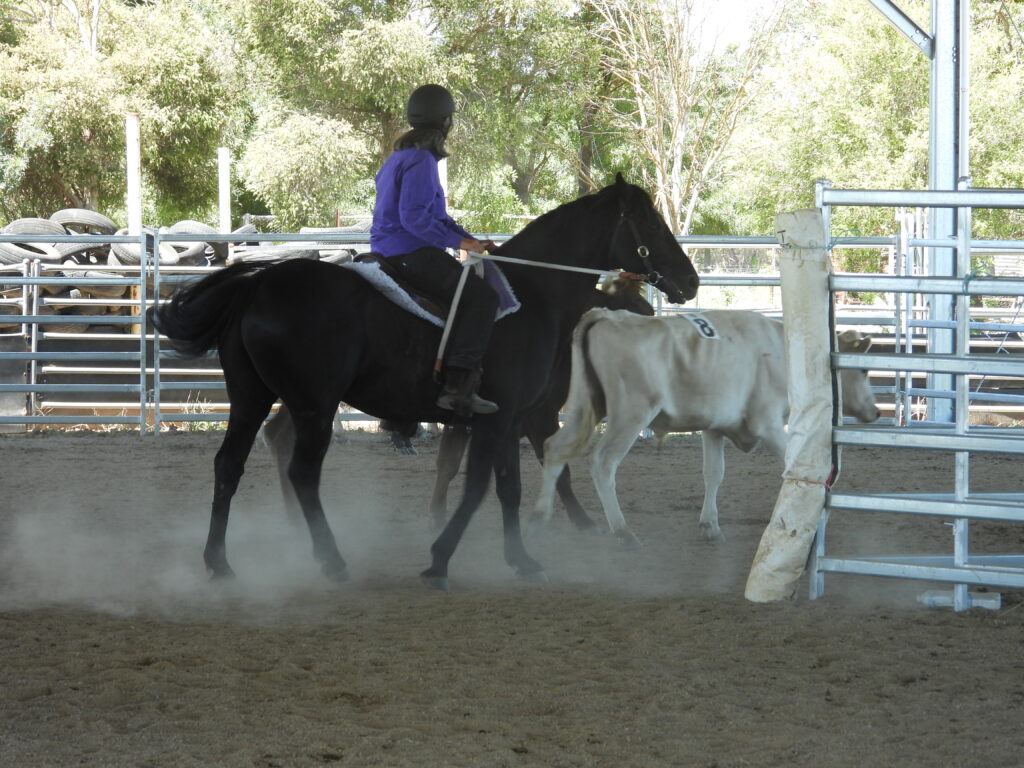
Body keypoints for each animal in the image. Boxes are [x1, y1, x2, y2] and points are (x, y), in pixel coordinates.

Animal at [149, 177, 696, 593]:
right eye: (650, 223)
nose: (690, 281)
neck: (533, 297)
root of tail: (260, 282)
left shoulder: (509, 417)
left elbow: (508, 487)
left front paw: (521, 560)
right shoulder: (505, 418)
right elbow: (479, 488)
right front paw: (439, 561)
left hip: (252, 398)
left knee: (229, 465)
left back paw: (220, 563)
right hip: (314, 407)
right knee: (302, 473)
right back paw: (331, 560)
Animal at [528, 309, 880, 548]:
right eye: (864, 369)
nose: (876, 411)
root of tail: (609, 316)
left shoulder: (715, 428)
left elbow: (714, 473)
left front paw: (710, 525)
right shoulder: (768, 423)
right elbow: (797, 467)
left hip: (583, 406)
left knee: (554, 448)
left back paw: (540, 515)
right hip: (631, 413)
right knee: (603, 462)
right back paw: (622, 530)